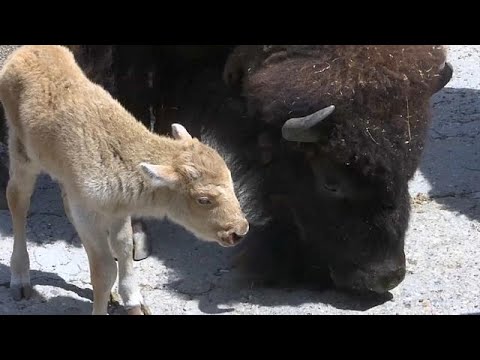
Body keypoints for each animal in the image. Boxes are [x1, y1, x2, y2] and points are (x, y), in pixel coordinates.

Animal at [0, 45, 248, 316]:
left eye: (231, 182)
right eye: (203, 199)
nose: (239, 231)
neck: (121, 153)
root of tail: (25, 52)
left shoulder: (117, 211)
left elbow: (124, 247)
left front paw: (134, 302)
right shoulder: (89, 213)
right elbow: (105, 269)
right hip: (22, 155)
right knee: (18, 201)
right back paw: (20, 281)